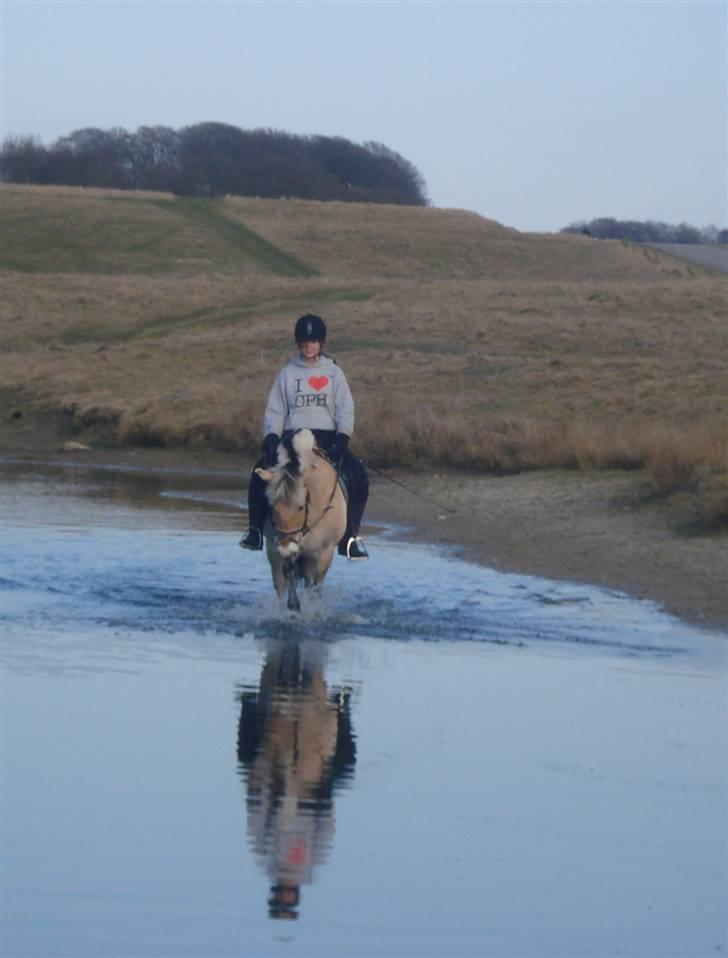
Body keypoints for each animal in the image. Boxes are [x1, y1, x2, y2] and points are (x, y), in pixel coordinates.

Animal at [255, 432, 348, 612]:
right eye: (272, 506)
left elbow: (316, 585)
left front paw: (314, 609)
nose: (286, 549)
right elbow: (287, 576)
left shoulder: (324, 552)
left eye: (300, 507)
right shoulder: (275, 547)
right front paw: (292, 607)